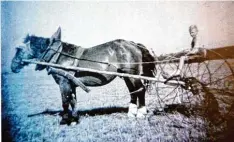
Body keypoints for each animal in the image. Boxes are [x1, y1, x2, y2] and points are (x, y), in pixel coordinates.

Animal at [11, 27, 157, 124]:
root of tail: (134, 44)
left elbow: (65, 101)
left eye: (18, 49)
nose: (13, 67)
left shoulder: (63, 82)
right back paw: (131, 113)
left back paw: (141, 113)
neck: (59, 56)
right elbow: (73, 101)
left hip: (133, 75)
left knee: (140, 91)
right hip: (127, 76)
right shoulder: (71, 83)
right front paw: (74, 119)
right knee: (134, 92)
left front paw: (64, 120)